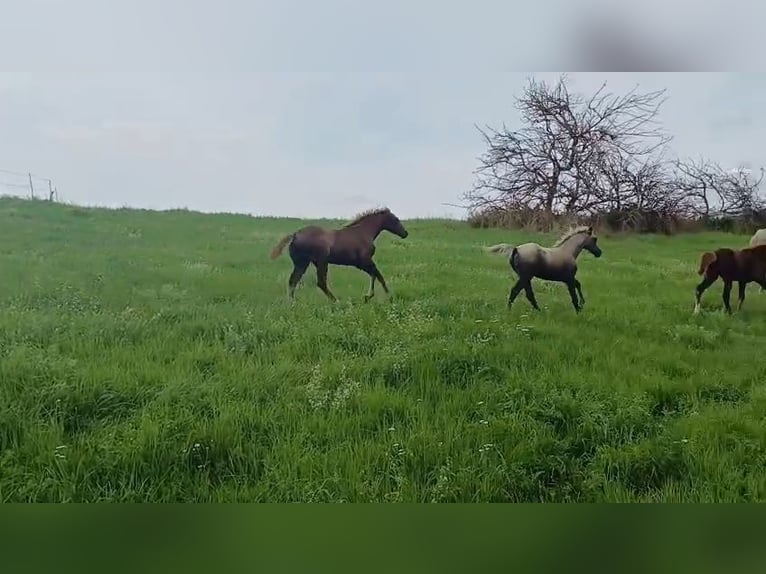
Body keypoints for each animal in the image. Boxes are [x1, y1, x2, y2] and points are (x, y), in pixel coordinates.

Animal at [269, 207, 408, 302]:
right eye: (396, 219)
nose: (405, 233)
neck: (363, 232)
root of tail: (295, 235)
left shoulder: (361, 264)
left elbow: (376, 275)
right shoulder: (364, 261)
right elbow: (377, 274)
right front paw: (377, 296)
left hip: (302, 263)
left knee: (293, 280)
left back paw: (292, 303)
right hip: (321, 262)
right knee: (320, 282)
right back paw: (336, 301)